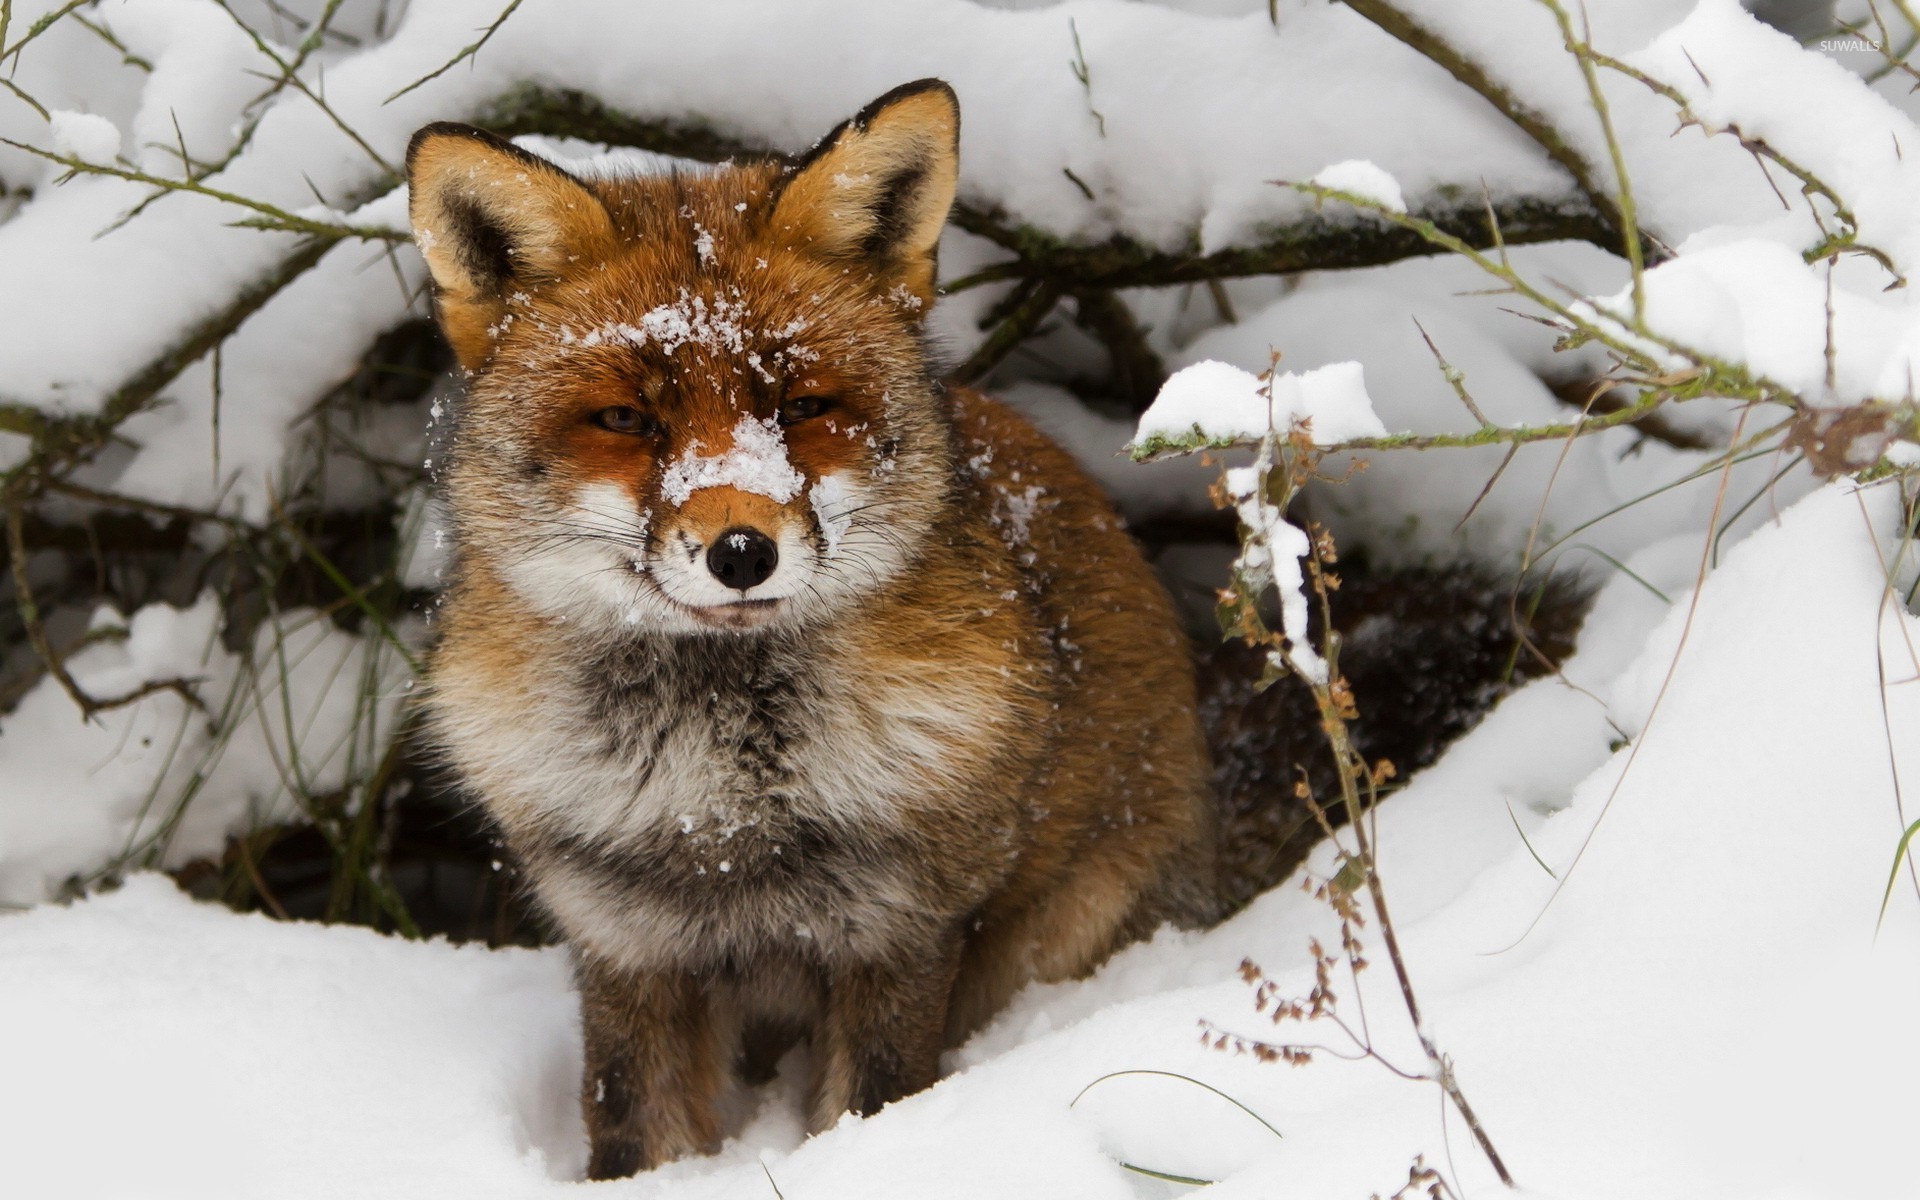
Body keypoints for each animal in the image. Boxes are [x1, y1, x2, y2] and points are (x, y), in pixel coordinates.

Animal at [407, 80, 1217, 1177]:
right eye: (626, 420)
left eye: (800, 405)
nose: (741, 551)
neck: (721, 807)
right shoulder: (624, 942)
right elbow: (633, 1129)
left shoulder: (897, 931)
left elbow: (867, 1111)